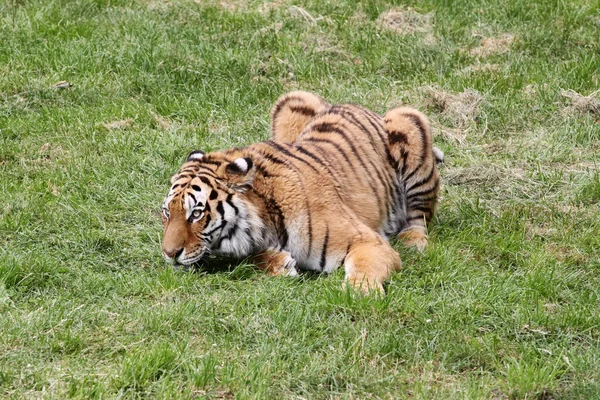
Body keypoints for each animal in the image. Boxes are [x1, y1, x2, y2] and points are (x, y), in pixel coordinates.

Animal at [162, 90, 442, 292]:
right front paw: (280, 264)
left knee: (420, 215)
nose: (169, 254)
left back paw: (412, 241)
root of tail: (356, 106)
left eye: (196, 214)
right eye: (167, 213)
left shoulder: (368, 241)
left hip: (409, 120)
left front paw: (359, 294)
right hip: (291, 100)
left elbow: (364, 267)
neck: (264, 218)